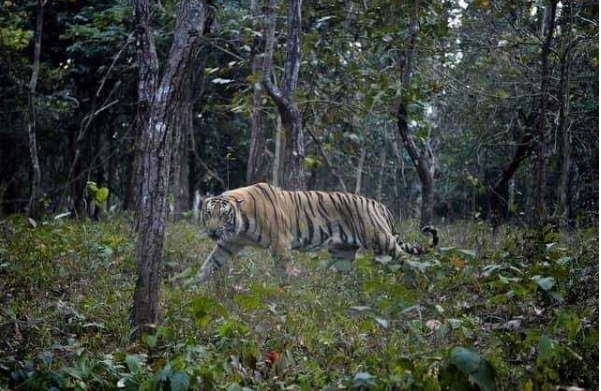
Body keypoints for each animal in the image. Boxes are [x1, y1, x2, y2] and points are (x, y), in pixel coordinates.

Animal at [195, 182, 438, 284]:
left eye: (223, 215)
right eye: (208, 213)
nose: (213, 231)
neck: (240, 223)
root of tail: (380, 205)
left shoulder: (280, 241)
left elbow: (284, 266)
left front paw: (290, 283)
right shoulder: (229, 243)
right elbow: (210, 263)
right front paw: (193, 285)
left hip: (382, 241)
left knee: (408, 261)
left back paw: (421, 284)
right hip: (343, 252)